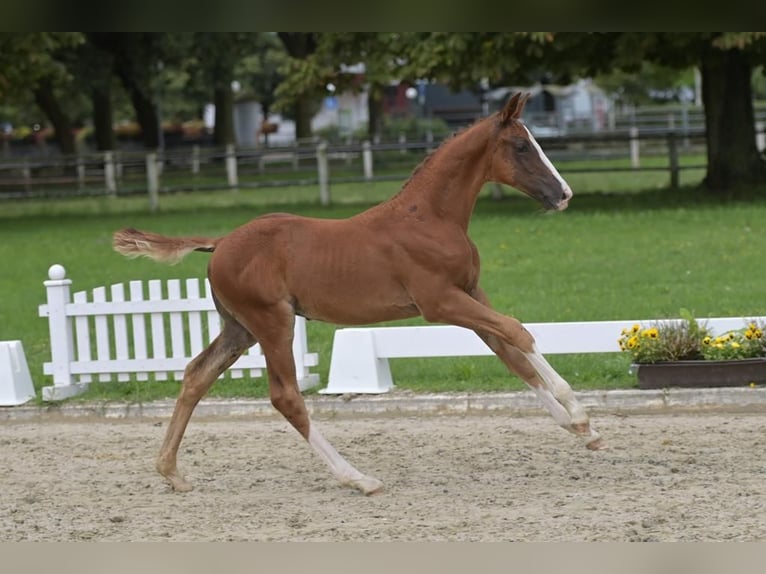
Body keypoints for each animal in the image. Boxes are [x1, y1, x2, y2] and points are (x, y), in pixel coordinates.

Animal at [114, 92, 608, 498]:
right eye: (522, 146)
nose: (563, 194)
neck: (428, 218)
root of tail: (218, 244)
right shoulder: (440, 303)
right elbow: (519, 333)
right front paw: (580, 414)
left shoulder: (471, 293)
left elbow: (512, 356)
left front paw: (580, 430)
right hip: (273, 323)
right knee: (286, 397)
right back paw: (358, 478)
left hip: (240, 329)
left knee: (196, 375)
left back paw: (171, 471)